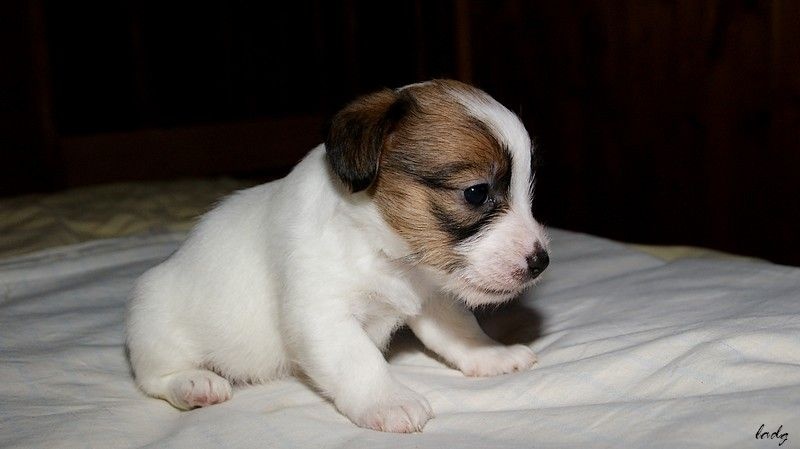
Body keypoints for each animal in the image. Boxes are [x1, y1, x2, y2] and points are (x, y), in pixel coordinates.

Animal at [125, 79, 552, 432]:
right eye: (476, 193)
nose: (540, 262)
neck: (381, 249)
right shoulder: (322, 315)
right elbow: (359, 361)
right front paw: (389, 401)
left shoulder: (433, 297)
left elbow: (459, 331)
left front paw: (490, 354)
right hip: (155, 324)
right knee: (155, 376)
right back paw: (195, 383)